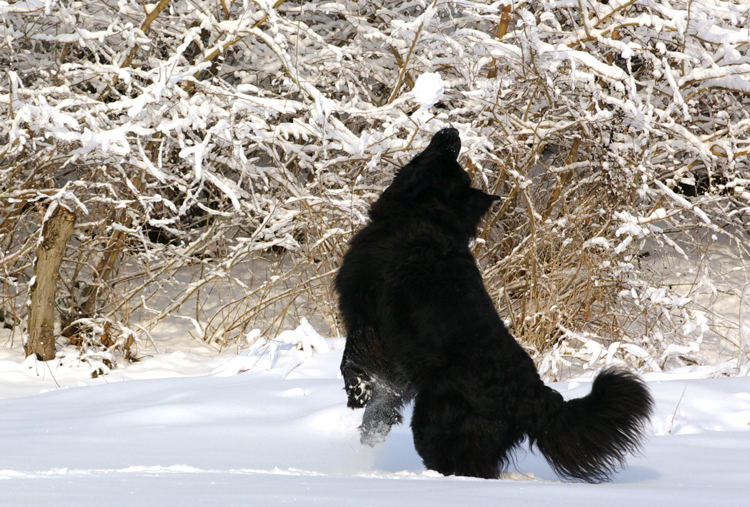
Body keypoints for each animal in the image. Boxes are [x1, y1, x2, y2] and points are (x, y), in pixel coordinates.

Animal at [338, 129, 656, 482]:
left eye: (442, 156)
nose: (452, 132)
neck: (425, 212)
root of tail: (534, 397)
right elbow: (386, 395)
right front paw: (372, 423)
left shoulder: (363, 314)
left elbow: (352, 358)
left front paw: (357, 393)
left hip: (435, 426)